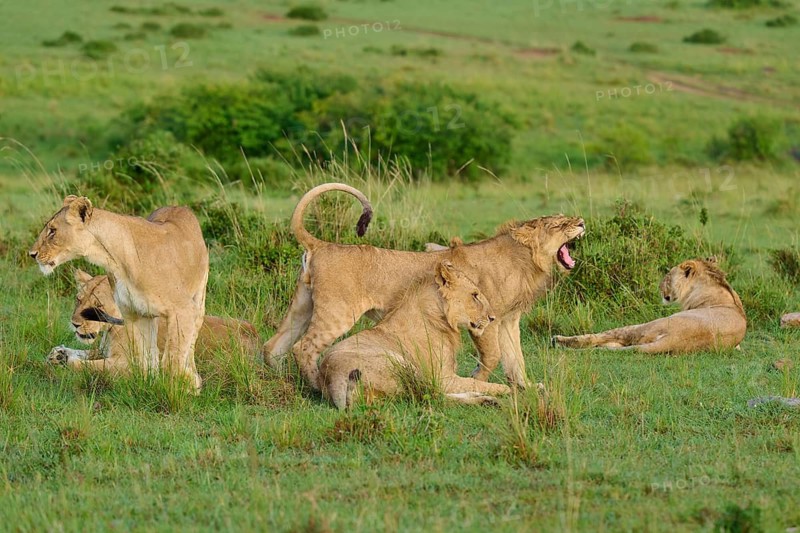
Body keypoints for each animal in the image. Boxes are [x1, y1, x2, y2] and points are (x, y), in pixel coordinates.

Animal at [29, 196, 209, 390]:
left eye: (52, 231)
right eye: (78, 300)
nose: (32, 253)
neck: (115, 260)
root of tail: (179, 206)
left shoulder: (182, 310)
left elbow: (172, 361)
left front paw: (182, 388)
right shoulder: (133, 313)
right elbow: (142, 360)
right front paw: (148, 384)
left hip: (198, 301)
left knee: (190, 346)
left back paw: (193, 377)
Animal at [47, 269, 260, 369]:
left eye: (97, 307)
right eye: (78, 300)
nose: (74, 324)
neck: (110, 330)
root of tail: (254, 332)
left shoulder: (129, 361)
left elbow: (86, 364)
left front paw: (66, 361)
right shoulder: (103, 350)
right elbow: (85, 352)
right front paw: (59, 353)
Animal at [263, 183, 585, 390]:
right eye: (558, 224)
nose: (582, 221)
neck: (525, 260)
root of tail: (321, 244)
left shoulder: (508, 320)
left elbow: (515, 359)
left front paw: (527, 386)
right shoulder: (485, 321)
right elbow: (494, 356)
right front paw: (477, 380)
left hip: (302, 307)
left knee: (274, 345)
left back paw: (281, 379)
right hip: (337, 313)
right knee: (303, 347)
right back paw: (315, 386)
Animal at [319, 260, 509, 409]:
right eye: (475, 295)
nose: (492, 318)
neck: (441, 317)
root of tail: (332, 380)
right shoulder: (443, 378)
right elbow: (476, 382)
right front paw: (505, 388)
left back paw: (488, 401)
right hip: (403, 364)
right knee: (433, 396)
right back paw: (488, 399)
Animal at [552, 257, 746, 354]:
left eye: (667, 275)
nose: (659, 287)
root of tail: (674, 339)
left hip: (645, 325)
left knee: (601, 337)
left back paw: (558, 340)